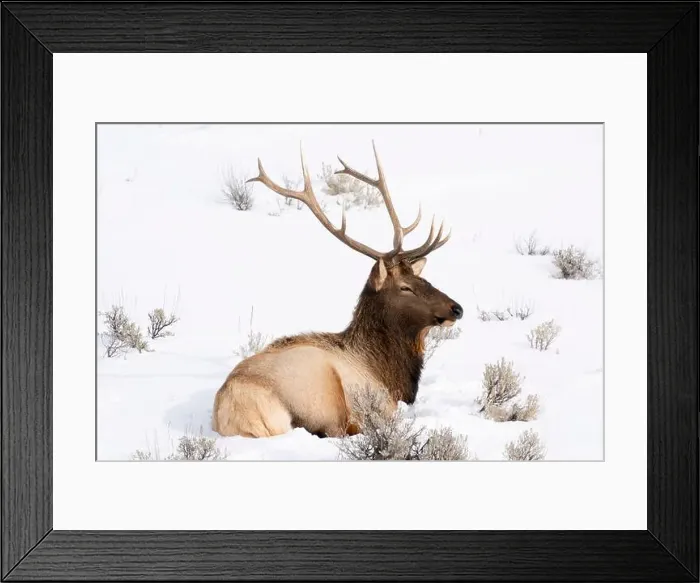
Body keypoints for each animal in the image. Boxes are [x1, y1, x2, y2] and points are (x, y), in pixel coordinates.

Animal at [212, 141, 462, 439]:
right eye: (405, 287)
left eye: (423, 279)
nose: (456, 308)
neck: (388, 372)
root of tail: (237, 412)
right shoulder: (383, 403)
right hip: (324, 391)